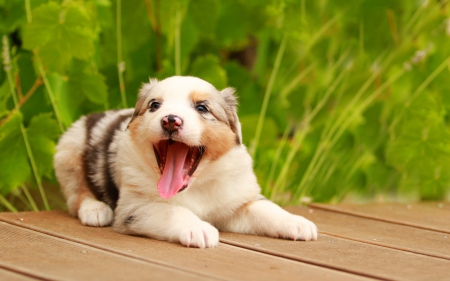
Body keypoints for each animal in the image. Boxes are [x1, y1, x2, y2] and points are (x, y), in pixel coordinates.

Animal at [54, 75, 318, 246]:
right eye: (154, 105)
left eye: (202, 108)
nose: (170, 120)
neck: (196, 185)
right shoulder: (135, 206)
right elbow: (173, 211)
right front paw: (198, 229)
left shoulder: (237, 202)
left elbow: (267, 209)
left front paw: (297, 222)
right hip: (69, 150)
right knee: (76, 193)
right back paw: (95, 209)